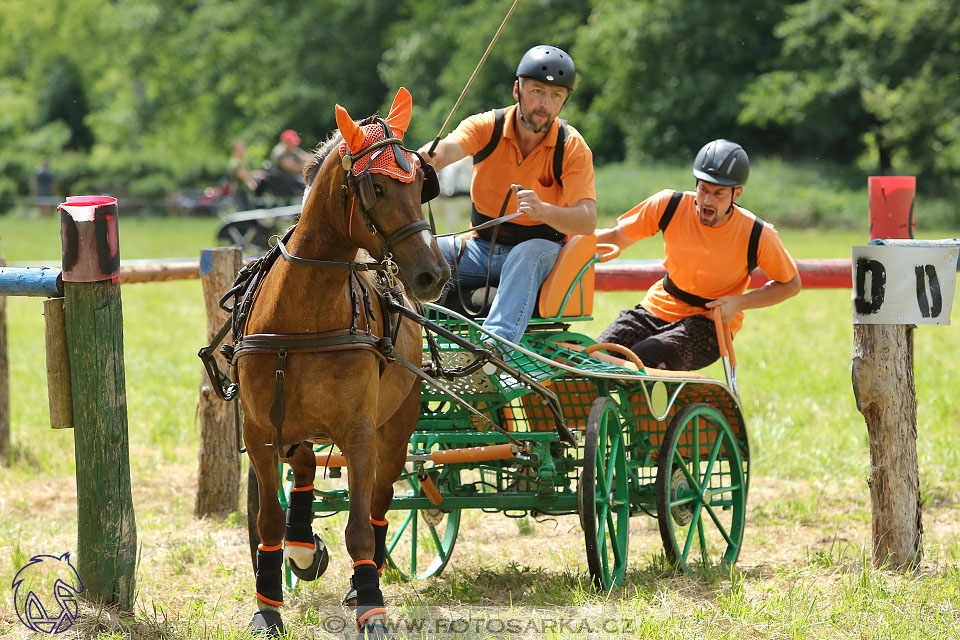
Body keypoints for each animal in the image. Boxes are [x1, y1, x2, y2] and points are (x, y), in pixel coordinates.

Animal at [238, 89, 452, 636]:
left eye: (421, 183)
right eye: (376, 186)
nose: (433, 274)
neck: (302, 317)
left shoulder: (359, 430)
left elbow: (359, 525)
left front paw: (370, 606)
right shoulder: (259, 429)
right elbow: (268, 518)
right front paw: (268, 605)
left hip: (396, 426)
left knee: (379, 499)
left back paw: (362, 576)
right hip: (292, 422)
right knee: (304, 468)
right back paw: (301, 546)